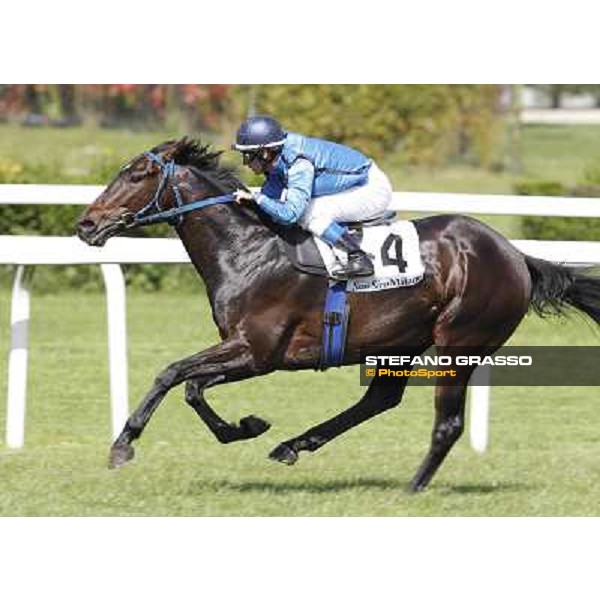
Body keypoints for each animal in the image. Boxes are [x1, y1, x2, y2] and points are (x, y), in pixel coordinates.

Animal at [77, 139, 600, 492]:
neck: (249, 250)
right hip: (400, 343)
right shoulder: (247, 352)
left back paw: (412, 488)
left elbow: (173, 374)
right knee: (380, 400)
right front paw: (247, 427)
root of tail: (516, 255)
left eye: (137, 174)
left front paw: (124, 444)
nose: (86, 224)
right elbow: (191, 386)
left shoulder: (257, 351)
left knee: (447, 423)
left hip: (461, 342)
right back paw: (292, 445)